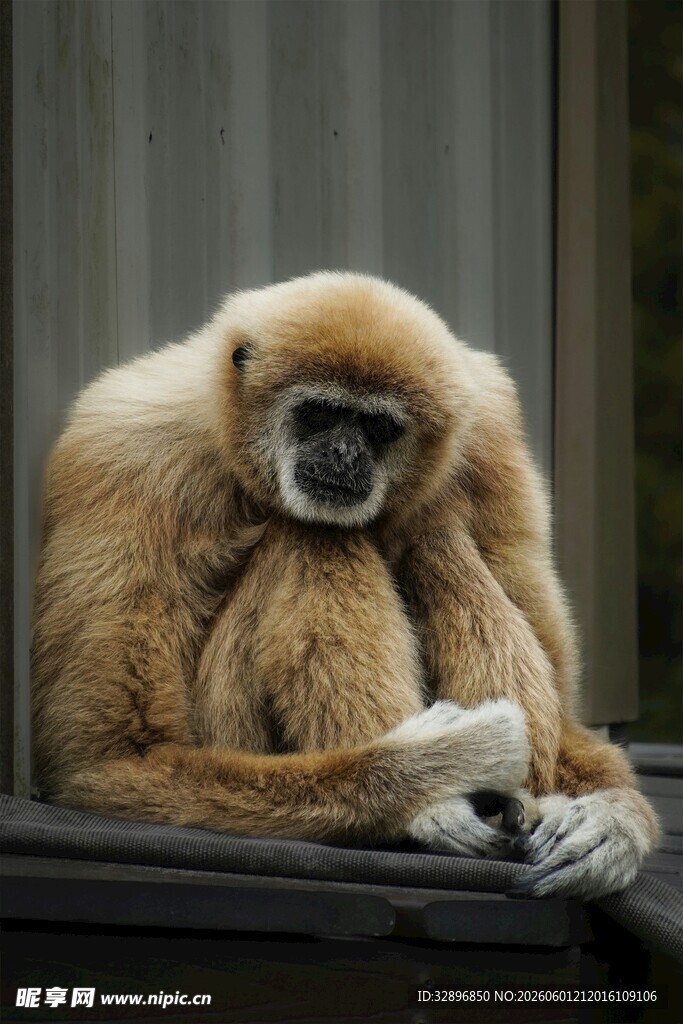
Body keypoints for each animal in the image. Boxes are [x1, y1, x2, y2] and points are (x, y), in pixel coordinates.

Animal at [31, 271, 658, 900]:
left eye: (378, 428)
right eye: (318, 414)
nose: (342, 453)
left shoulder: (492, 438)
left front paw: (614, 819)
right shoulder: (126, 458)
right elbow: (114, 760)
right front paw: (439, 764)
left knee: (434, 532)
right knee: (316, 533)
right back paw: (434, 807)